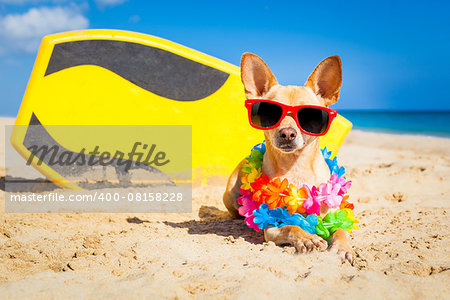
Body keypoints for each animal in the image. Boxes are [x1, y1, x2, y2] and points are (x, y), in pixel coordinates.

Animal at [222, 53, 356, 262]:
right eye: (270, 113)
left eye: (310, 115)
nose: (287, 133)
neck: (295, 166)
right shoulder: (271, 228)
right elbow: (291, 226)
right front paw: (308, 238)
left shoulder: (334, 215)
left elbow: (341, 230)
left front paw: (343, 247)